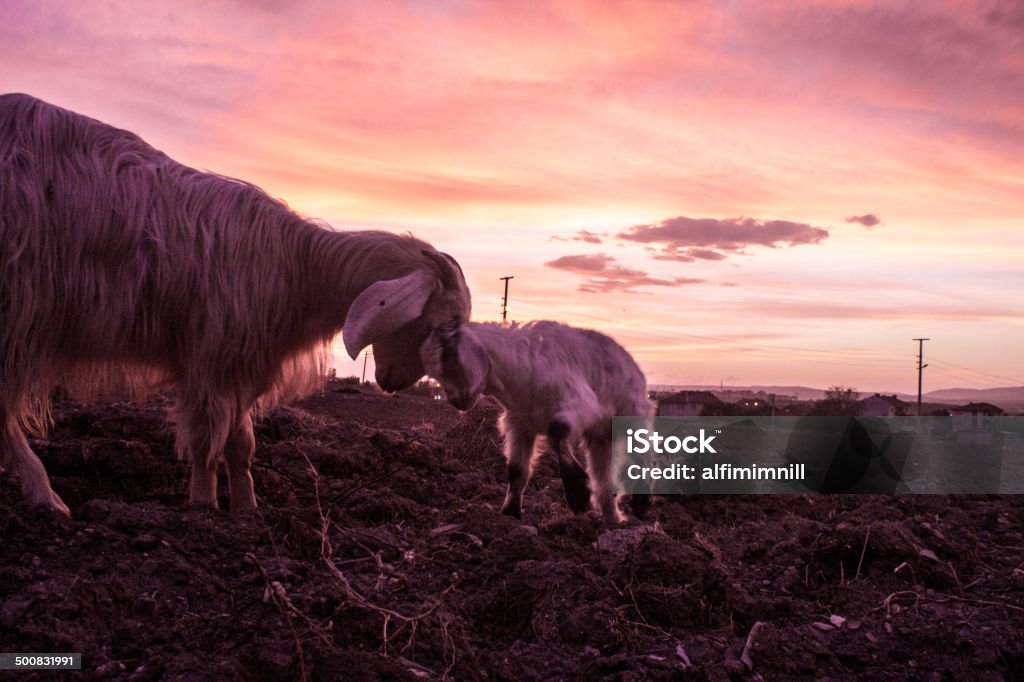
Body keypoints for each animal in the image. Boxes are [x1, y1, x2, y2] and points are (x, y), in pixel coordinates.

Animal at [0, 93, 471, 512]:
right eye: (443, 322)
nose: (466, 402)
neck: (299, 265)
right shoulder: (213, 355)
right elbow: (206, 439)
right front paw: (203, 505)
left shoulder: (242, 361)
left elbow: (241, 442)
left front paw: (247, 508)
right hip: (17, 310)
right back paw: (47, 498)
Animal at [419, 319, 651, 520]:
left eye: (452, 361)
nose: (457, 401)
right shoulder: (519, 424)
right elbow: (517, 470)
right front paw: (510, 512)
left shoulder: (583, 406)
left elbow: (556, 430)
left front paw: (578, 495)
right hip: (601, 436)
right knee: (603, 471)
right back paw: (612, 518)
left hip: (631, 415)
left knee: (643, 455)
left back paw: (641, 506)